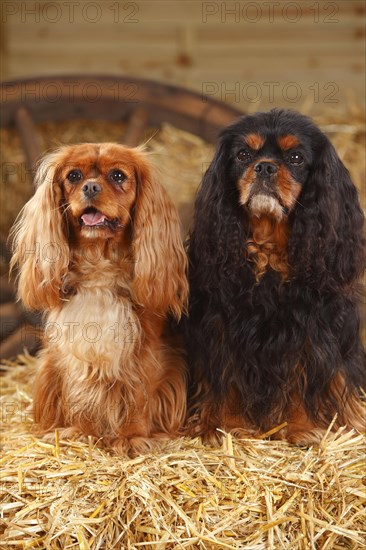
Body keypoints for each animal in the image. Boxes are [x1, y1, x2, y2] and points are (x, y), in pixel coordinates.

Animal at [186, 110, 366, 446]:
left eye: (295, 157)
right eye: (243, 155)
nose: (265, 166)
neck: (268, 247)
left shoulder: (308, 329)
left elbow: (300, 378)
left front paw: (299, 427)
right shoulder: (220, 325)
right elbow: (223, 378)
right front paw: (222, 426)